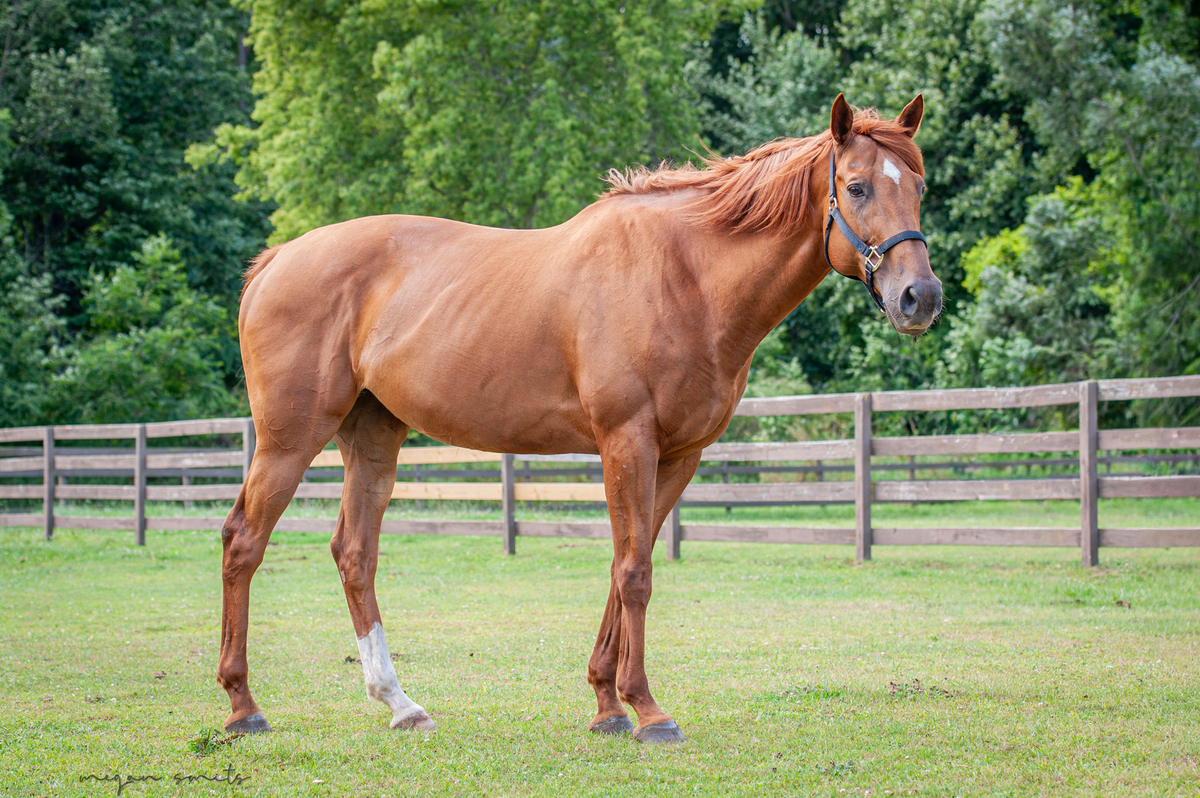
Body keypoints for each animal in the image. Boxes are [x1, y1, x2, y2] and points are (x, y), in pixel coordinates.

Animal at [218, 94, 940, 743]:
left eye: (919, 188)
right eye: (855, 186)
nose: (921, 297)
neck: (685, 276)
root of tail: (276, 261)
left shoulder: (677, 457)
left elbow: (625, 567)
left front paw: (607, 705)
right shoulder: (627, 444)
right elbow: (635, 575)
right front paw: (648, 712)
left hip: (372, 438)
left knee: (354, 554)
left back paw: (400, 704)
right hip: (288, 441)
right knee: (243, 542)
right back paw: (242, 707)